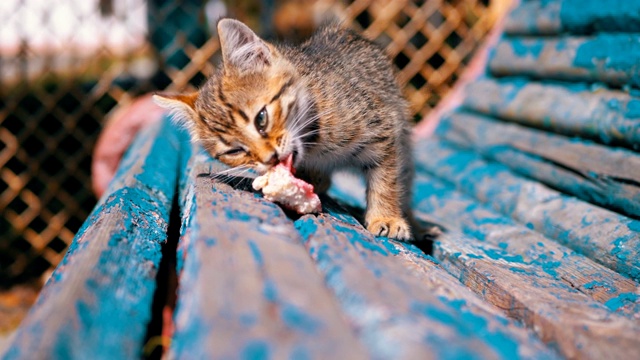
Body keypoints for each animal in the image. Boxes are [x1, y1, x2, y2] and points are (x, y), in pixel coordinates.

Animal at [153, 18, 418, 240]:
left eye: (261, 118)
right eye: (234, 151)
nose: (270, 158)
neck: (315, 146)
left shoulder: (384, 127)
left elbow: (386, 179)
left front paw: (386, 216)